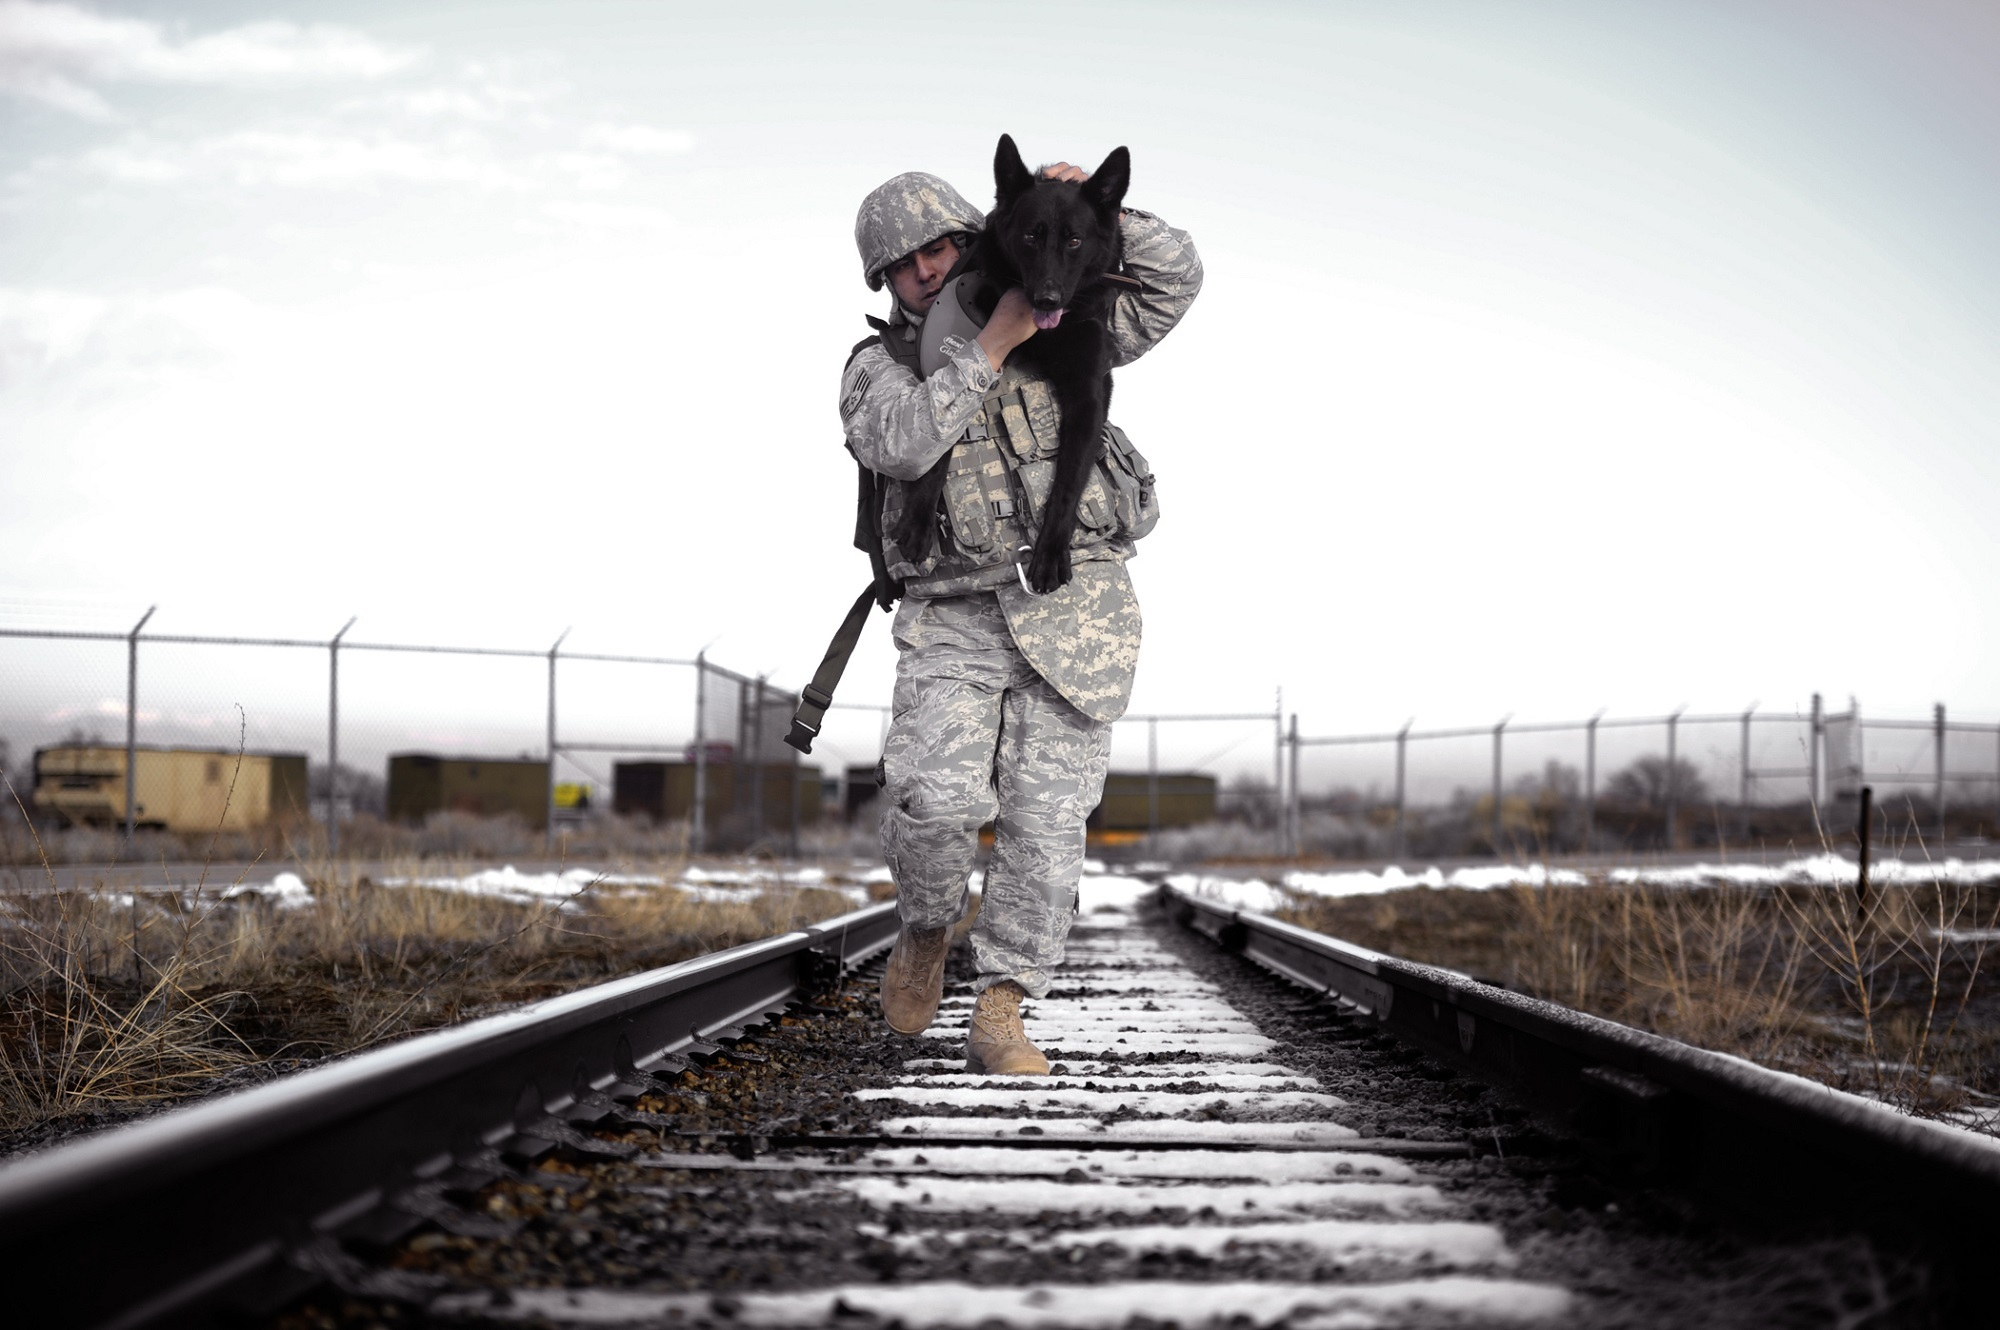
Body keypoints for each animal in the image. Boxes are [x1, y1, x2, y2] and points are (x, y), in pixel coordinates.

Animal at [888, 134, 1128, 592]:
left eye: (1074, 240)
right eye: (1031, 236)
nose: (1047, 300)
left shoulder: (1089, 390)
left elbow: (1071, 475)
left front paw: (1050, 553)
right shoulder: (954, 356)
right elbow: (939, 439)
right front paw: (918, 518)